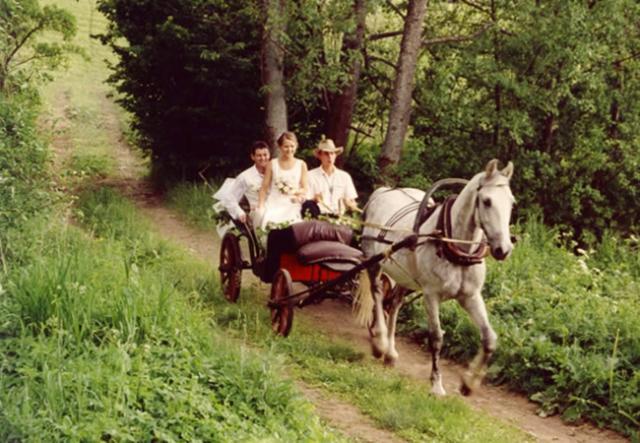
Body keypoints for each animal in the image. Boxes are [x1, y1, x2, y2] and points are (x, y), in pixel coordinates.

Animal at [360, 159, 516, 396]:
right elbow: (436, 338)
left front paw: (469, 383)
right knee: (377, 295)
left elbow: (489, 339)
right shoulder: (431, 295)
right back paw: (379, 342)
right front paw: (436, 384)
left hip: (405, 278)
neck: (454, 246)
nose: (503, 249)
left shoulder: (470, 296)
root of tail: (383, 191)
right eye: (487, 201)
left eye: (511, 203)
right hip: (374, 262)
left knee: (394, 304)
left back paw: (390, 352)